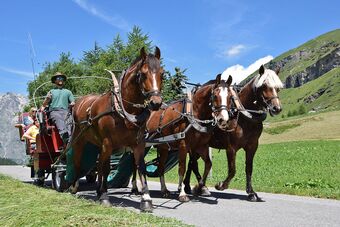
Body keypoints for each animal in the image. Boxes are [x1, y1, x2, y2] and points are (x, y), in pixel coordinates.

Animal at [71, 47, 163, 212]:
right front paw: (105, 196)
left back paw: (98, 189)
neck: (123, 109)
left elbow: (140, 167)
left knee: (98, 164)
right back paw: (75, 186)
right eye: (143, 74)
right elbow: (106, 168)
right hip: (79, 139)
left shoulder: (138, 144)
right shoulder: (108, 143)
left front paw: (146, 199)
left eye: (162, 74)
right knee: (78, 160)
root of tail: (80, 101)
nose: (156, 103)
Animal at [133, 74, 234, 202]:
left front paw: (200, 187)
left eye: (230, 97)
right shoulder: (183, 146)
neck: (193, 114)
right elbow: (182, 168)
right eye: (215, 96)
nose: (223, 120)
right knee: (135, 165)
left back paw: (164, 190)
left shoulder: (201, 146)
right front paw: (182, 193)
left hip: (163, 148)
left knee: (160, 167)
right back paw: (135, 188)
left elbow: (208, 164)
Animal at [185, 64, 282, 201]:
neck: (243, 116)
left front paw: (251, 192)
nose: (276, 108)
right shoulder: (231, 148)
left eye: (278, 88)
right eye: (263, 85)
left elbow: (249, 168)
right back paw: (200, 188)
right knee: (193, 164)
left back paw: (189, 186)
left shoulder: (252, 146)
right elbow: (232, 170)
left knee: (190, 164)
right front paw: (221, 185)